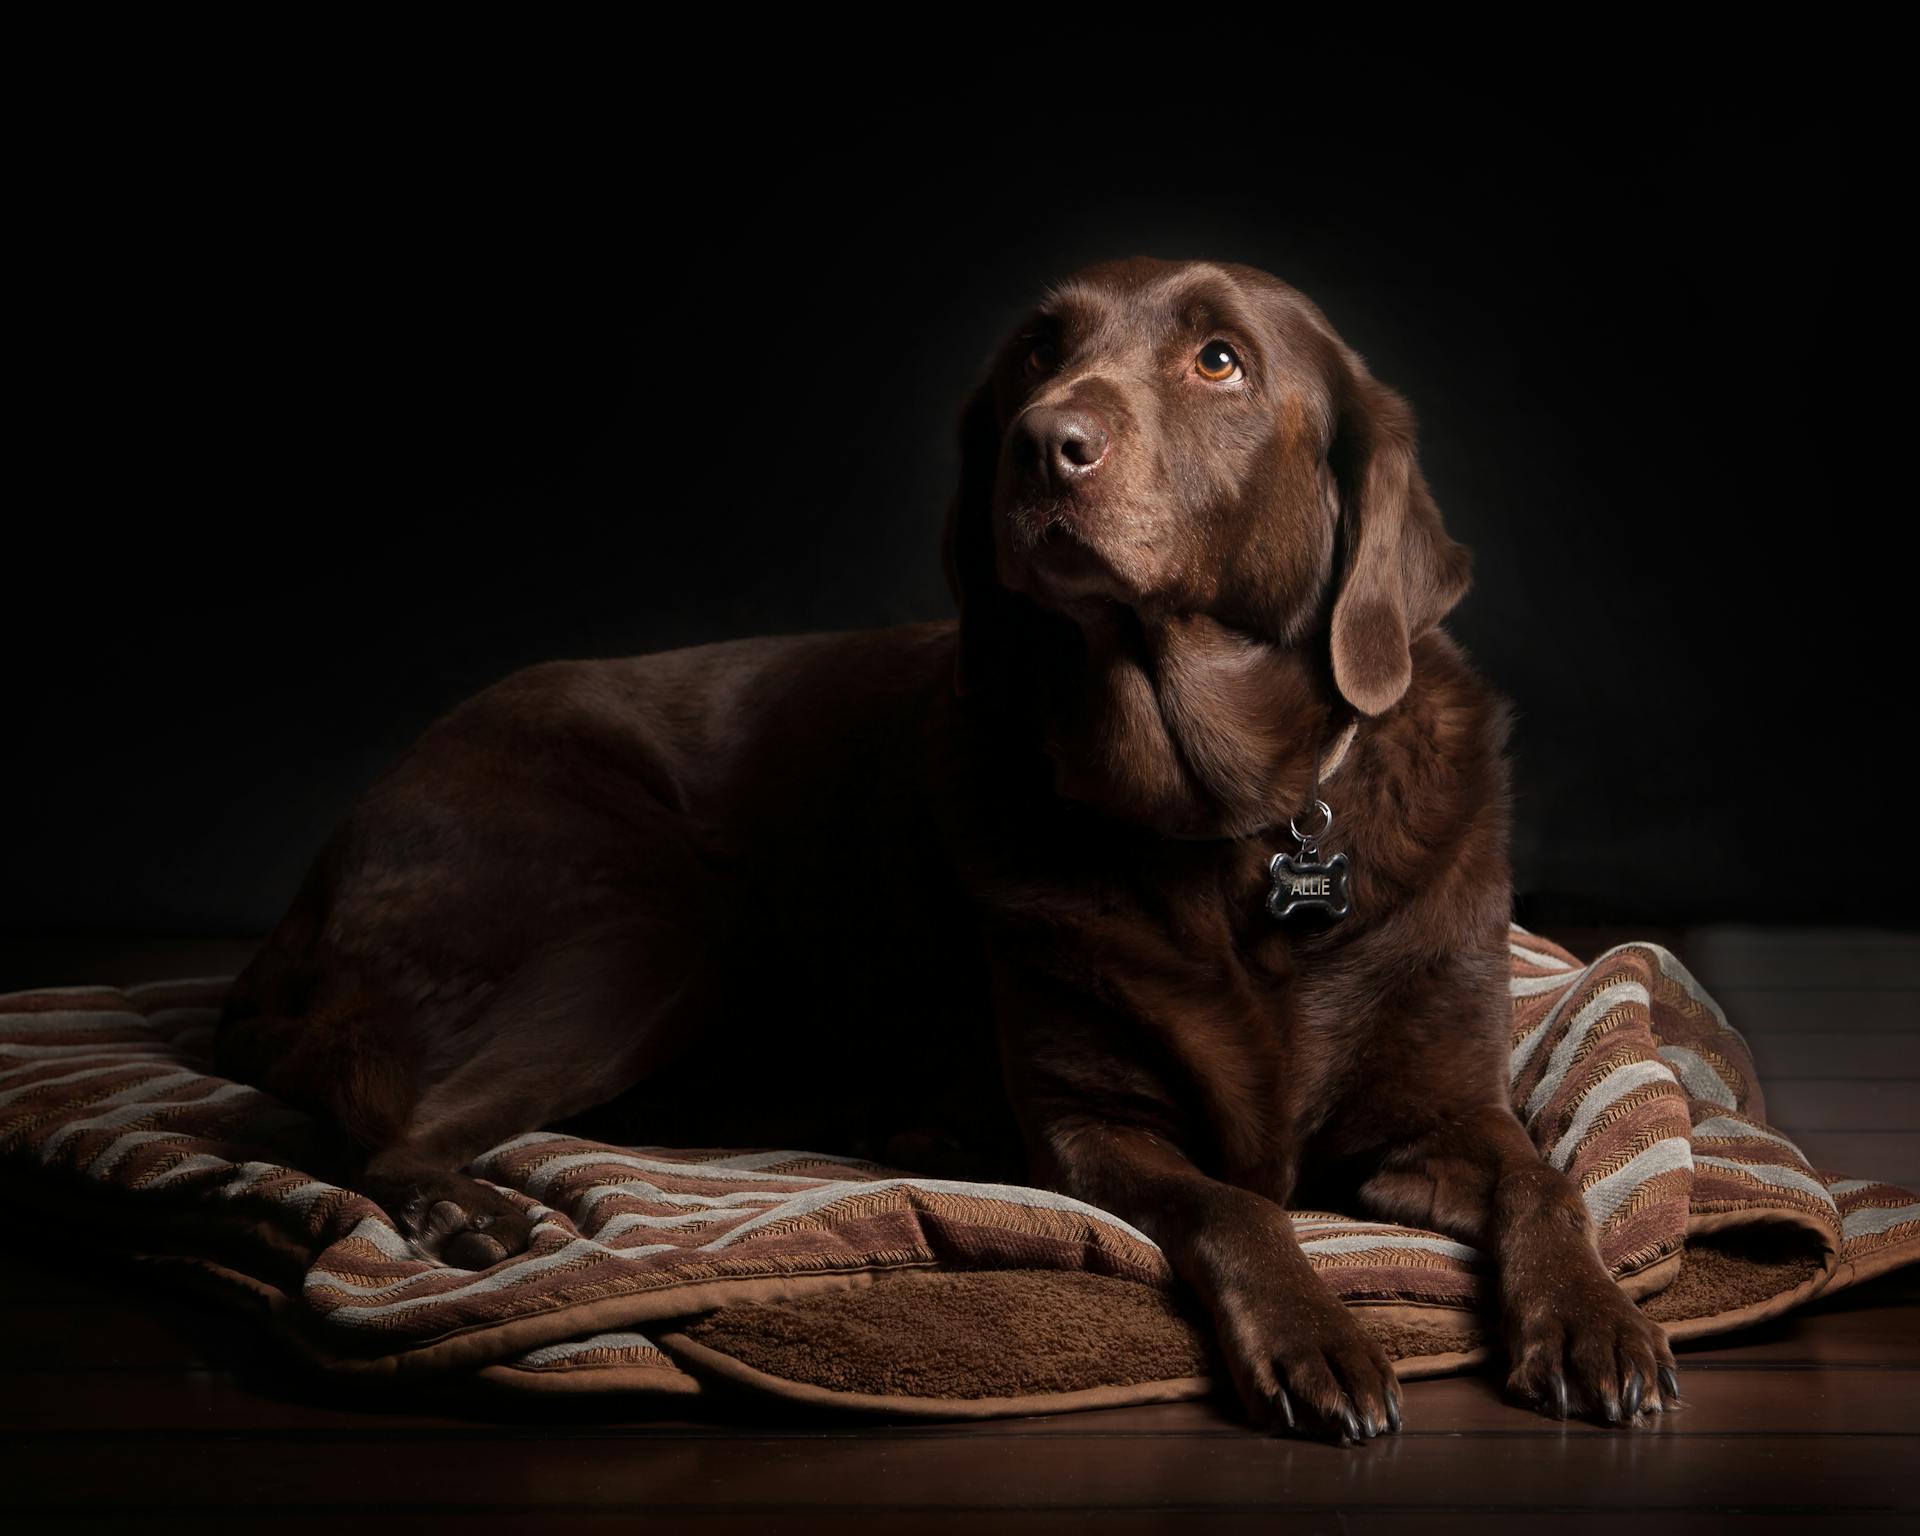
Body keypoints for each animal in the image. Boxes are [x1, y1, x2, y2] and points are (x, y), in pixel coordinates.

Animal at [214, 255, 1681, 1443]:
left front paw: (1595, 1321)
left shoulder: (1440, 1113)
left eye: (1218, 358)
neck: (1224, 821)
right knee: (371, 1123)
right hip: (653, 923)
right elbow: (1241, 1208)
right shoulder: (1096, 1131)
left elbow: (1551, 1183)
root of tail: (294, 912)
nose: (1045, 443)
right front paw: (1320, 1335)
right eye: (1037, 351)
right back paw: (481, 1209)